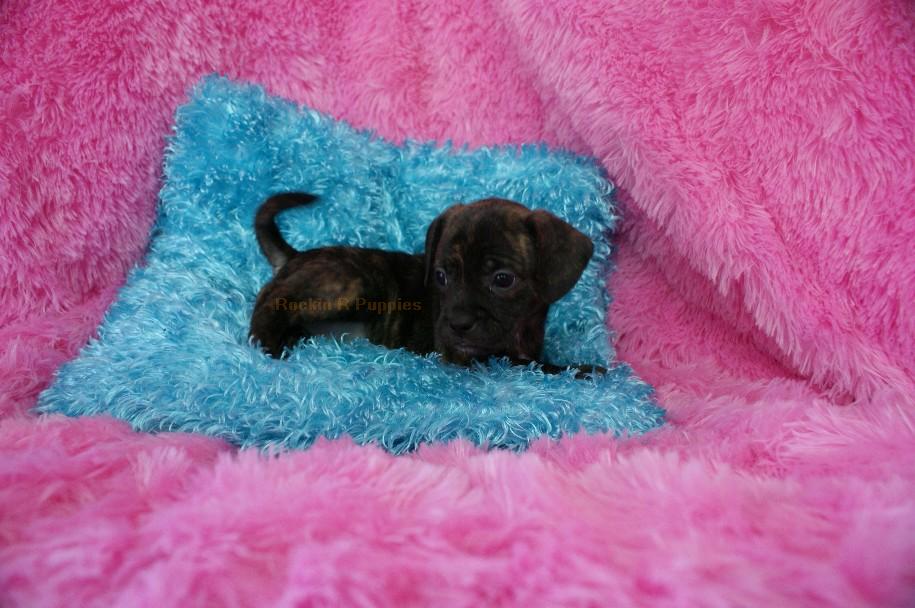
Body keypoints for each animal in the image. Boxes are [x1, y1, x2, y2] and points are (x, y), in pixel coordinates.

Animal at [249, 192, 604, 375]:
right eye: (441, 276)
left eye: (503, 279)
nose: (458, 323)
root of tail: (297, 256)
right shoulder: (469, 358)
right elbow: (533, 366)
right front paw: (583, 369)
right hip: (354, 281)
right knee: (271, 298)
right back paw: (266, 346)